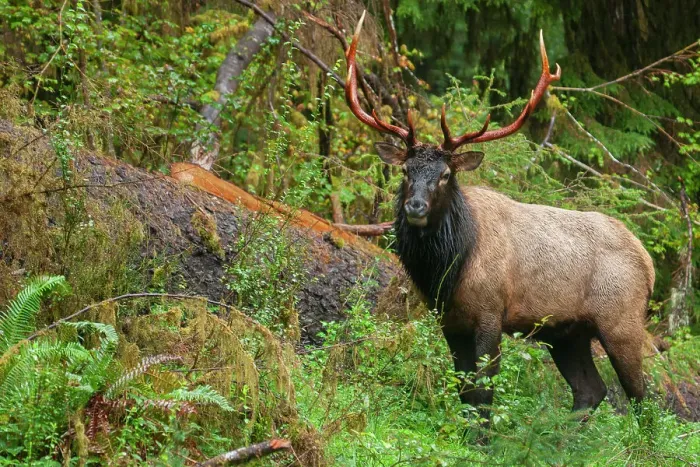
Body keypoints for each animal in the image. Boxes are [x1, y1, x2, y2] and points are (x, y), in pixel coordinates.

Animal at [344, 12, 655, 421]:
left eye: (446, 174)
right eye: (406, 171)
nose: (416, 207)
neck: (449, 268)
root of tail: (648, 262)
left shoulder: (491, 312)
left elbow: (483, 392)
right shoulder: (450, 320)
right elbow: (463, 390)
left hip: (622, 320)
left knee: (643, 400)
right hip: (567, 333)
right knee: (591, 390)